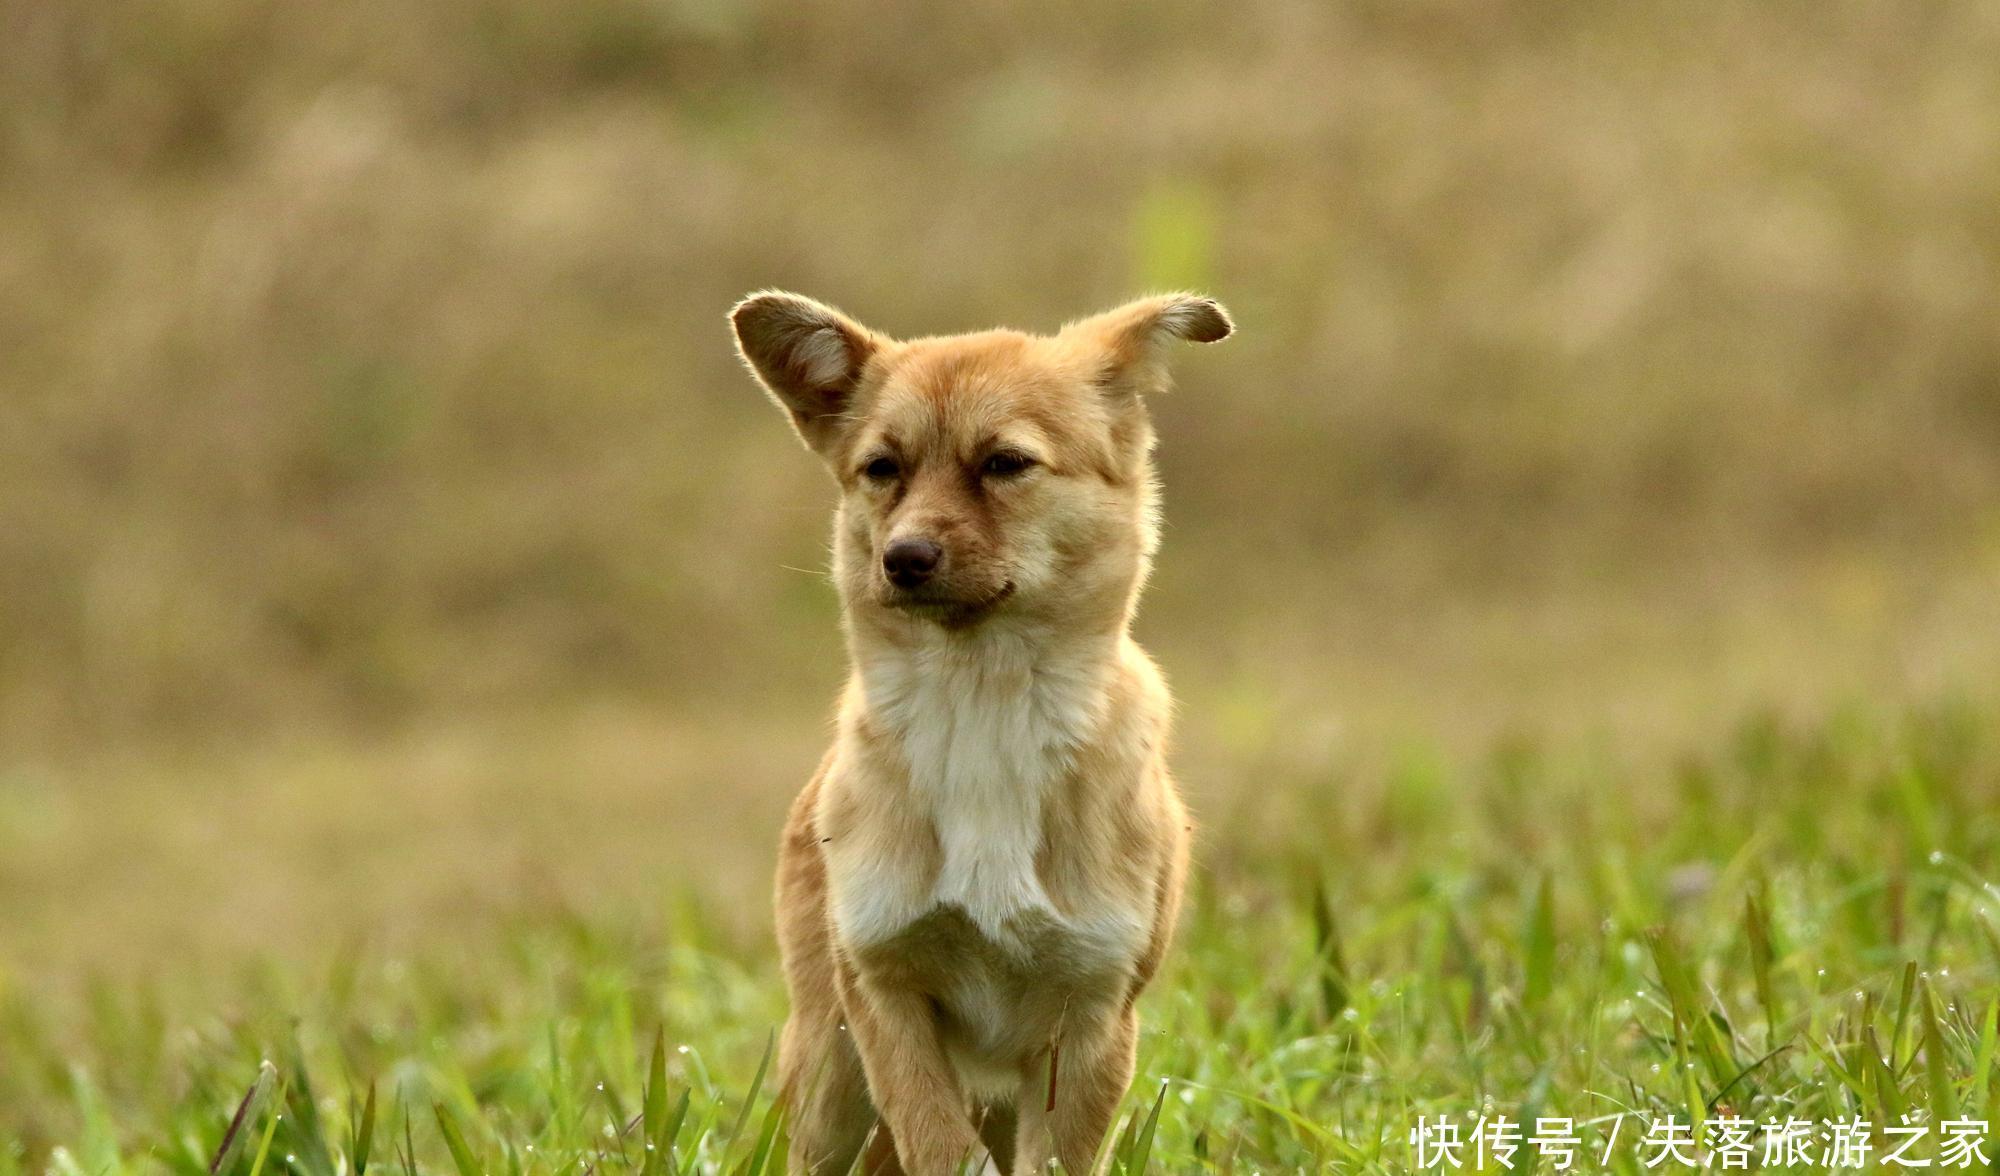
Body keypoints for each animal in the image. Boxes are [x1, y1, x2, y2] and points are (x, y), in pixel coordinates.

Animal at [732, 288, 1224, 1176]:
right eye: (881, 470)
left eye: (1005, 463)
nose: (904, 557)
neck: (982, 706)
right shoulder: (885, 993)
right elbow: (939, 1144)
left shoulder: (1090, 1016)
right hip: (829, 1071)